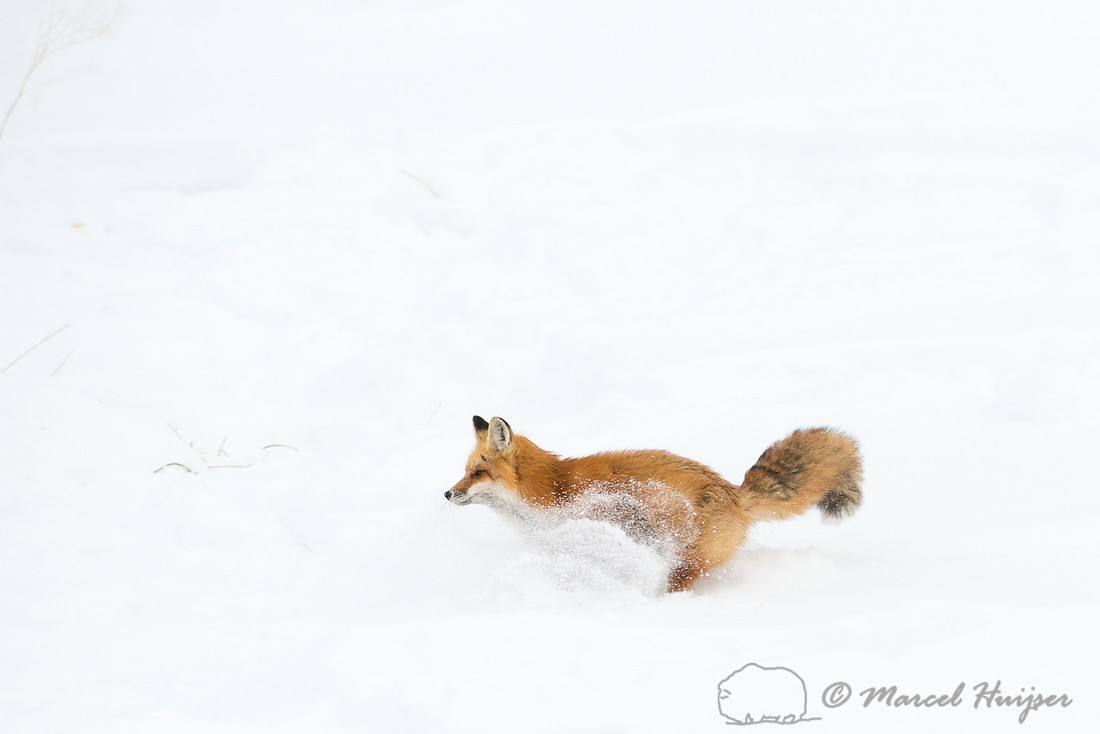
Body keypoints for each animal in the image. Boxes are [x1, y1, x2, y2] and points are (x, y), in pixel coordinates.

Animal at [445, 416, 863, 593]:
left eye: (477, 473)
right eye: (465, 471)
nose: (447, 494)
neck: (550, 490)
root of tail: (735, 493)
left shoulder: (607, 514)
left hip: (683, 560)